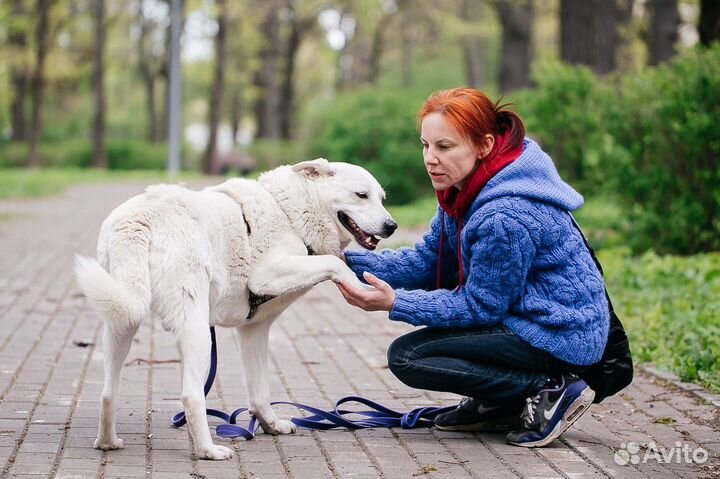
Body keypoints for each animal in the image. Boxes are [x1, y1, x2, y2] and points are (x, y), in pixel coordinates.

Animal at [76, 160, 396, 462]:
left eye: (382, 198)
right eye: (361, 195)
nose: (392, 226)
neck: (290, 213)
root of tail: (137, 221)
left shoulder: (254, 331)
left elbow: (259, 391)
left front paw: (270, 424)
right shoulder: (267, 274)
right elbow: (334, 263)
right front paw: (362, 286)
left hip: (122, 320)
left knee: (107, 393)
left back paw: (108, 442)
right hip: (196, 330)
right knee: (191, 395)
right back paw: (208, 451)